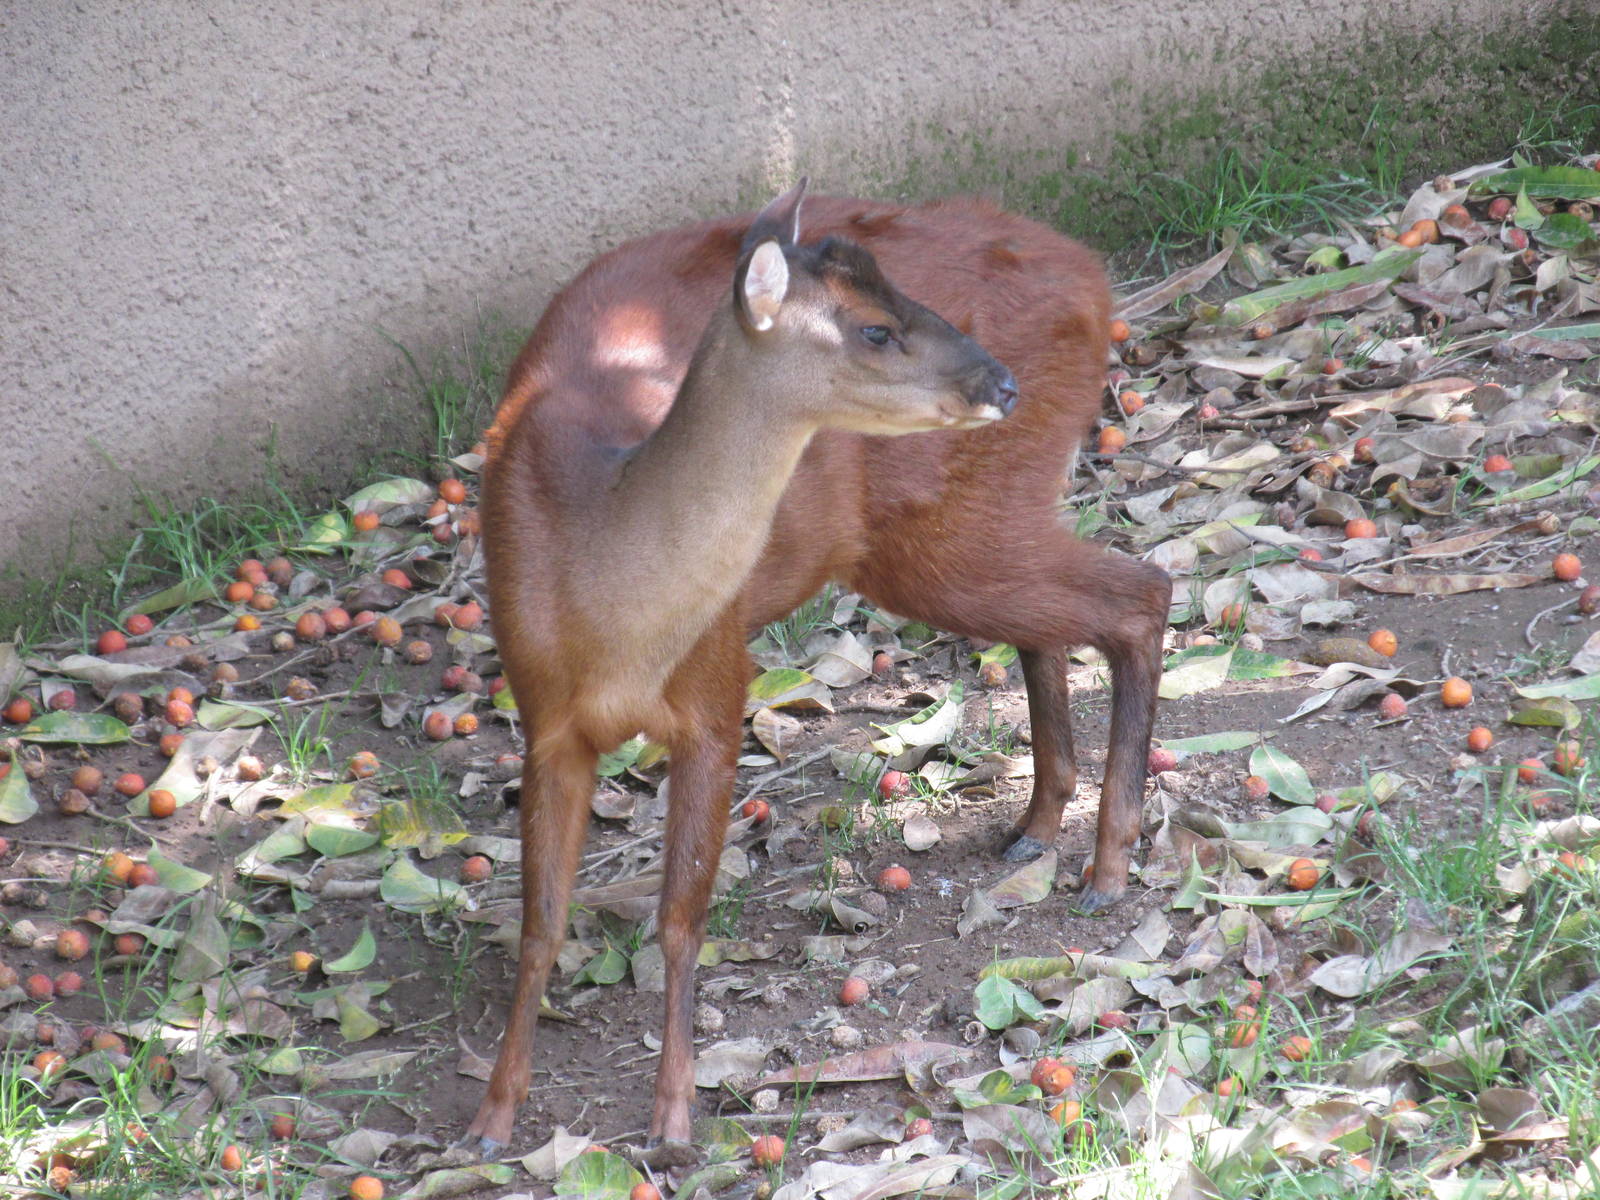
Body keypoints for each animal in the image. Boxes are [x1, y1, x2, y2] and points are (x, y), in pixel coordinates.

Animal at [468, 181, 1171, 1152]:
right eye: (873, 328)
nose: (1000, 383)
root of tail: (1095, 280)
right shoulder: (544, 721)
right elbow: (539, 923)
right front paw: (495, 1116)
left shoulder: (717, 690)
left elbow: (681, 918)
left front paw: (674, 1117)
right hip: (975, 523)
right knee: (1067, 621)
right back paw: (1035, 826)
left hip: (954, 526)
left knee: (1140, 592)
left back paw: (1105, 871)